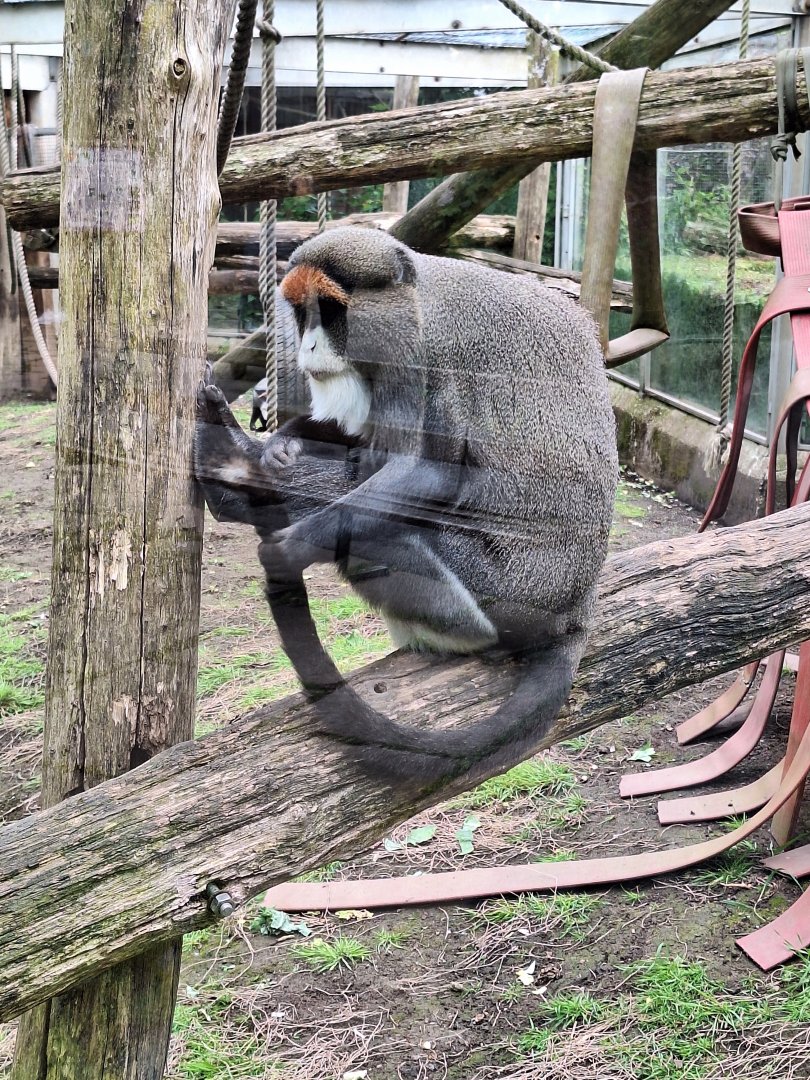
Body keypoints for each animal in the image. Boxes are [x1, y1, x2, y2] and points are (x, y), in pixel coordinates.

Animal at [194, 225, 618, 789]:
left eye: (331, 311)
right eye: (302, 312)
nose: (308, 345)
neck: (416, 298)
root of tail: (576, 612)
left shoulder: (426, 360)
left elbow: (431, 471)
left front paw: (286, 548)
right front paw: (287, 439)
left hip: (504, 593)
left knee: (378, 538)